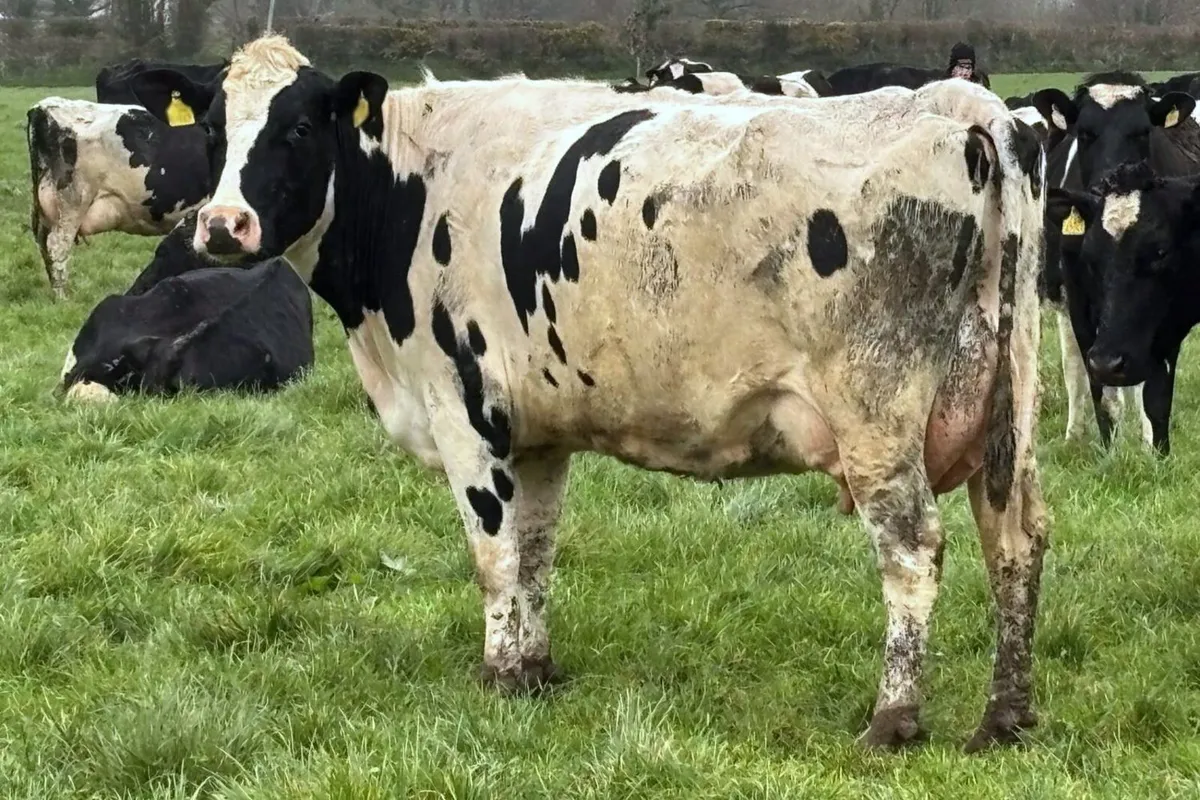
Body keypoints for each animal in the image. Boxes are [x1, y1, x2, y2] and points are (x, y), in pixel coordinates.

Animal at [142, 36, 1047, 751]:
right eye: (215, 130)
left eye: (297, 129)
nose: (222, 226)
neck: (409, 187)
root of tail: (957, 105)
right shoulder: (537, 431)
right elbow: (536, 549)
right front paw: (534, 669)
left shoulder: (464, 411)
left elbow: (493, 554)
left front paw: (499, 674)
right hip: (1008, 410)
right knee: (1016, 539)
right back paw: (1005, 716)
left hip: (875, 416)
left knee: (914, 548)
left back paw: (894, 719)